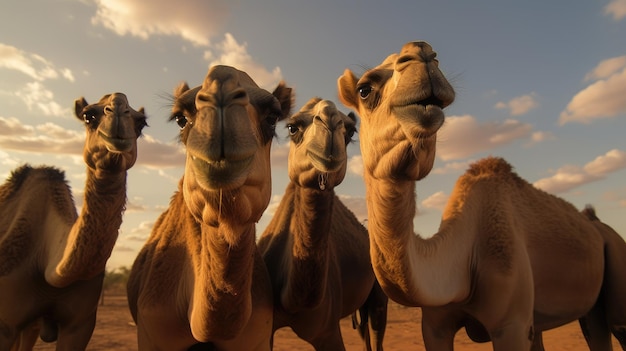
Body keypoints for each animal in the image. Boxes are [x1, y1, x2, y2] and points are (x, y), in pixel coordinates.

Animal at [255, 97, 386, 350]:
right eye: (292, 127)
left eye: (350, 131)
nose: (329, 119)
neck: (291, 300)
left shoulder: (326, 330)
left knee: (376, 330)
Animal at [336, 40, 624, 350]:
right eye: (365, 90)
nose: (421, 52)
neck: (460, 261)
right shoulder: (434, 327)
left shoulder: (511, 325)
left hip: (616, 254)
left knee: (617, 323)